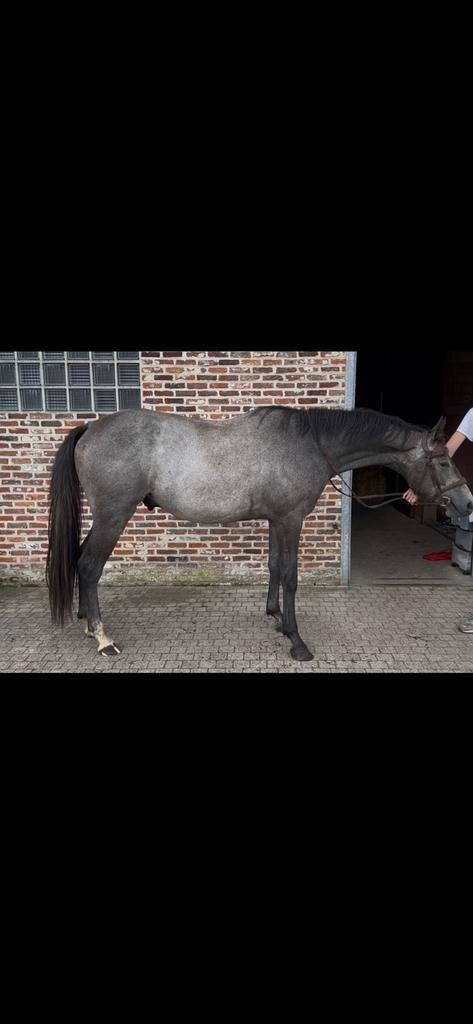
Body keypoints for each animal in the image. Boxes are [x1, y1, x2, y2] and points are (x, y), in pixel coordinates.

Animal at [46, 406, 473, 662]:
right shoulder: (290, 520)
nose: (467, 503)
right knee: (89, 565)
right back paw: (102, 636)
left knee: (81, 559)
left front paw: (276, 617)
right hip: (113, 516)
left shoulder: (275, 520)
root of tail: (90, 427)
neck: (309, 445)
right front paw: (297, 640)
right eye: (442, 461)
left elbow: (273, 567)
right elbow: (291, 576)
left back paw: (85, 619)